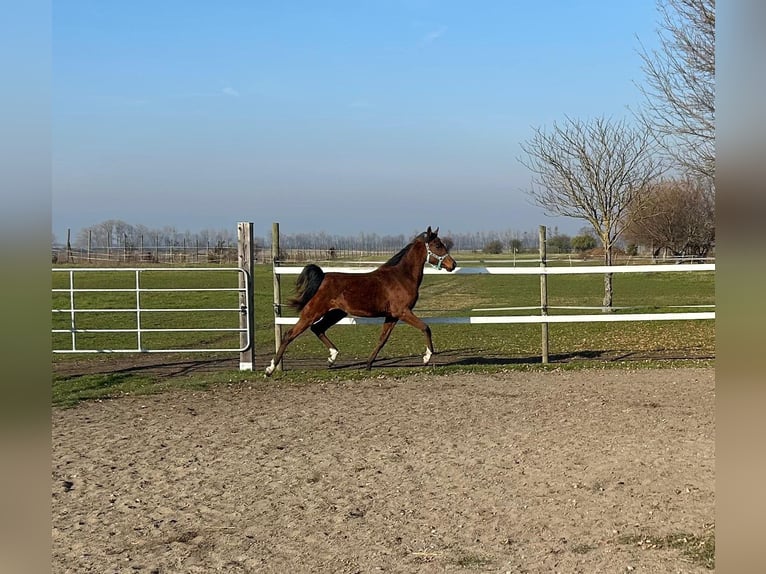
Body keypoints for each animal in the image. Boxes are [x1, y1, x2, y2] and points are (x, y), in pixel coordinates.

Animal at [266, 227, 456, 376]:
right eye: (438, 245)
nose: (452, 264)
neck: (401, 277)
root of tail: (323, 277)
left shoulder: (392, 315)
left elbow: (382, 339)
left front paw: (368, 364)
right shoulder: (403, 312)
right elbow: (425, 327)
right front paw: (427, 357)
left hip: (336, 313)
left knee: (317, 328)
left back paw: (332, 357)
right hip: (313, 312)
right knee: (290, 334)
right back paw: (270, 369)